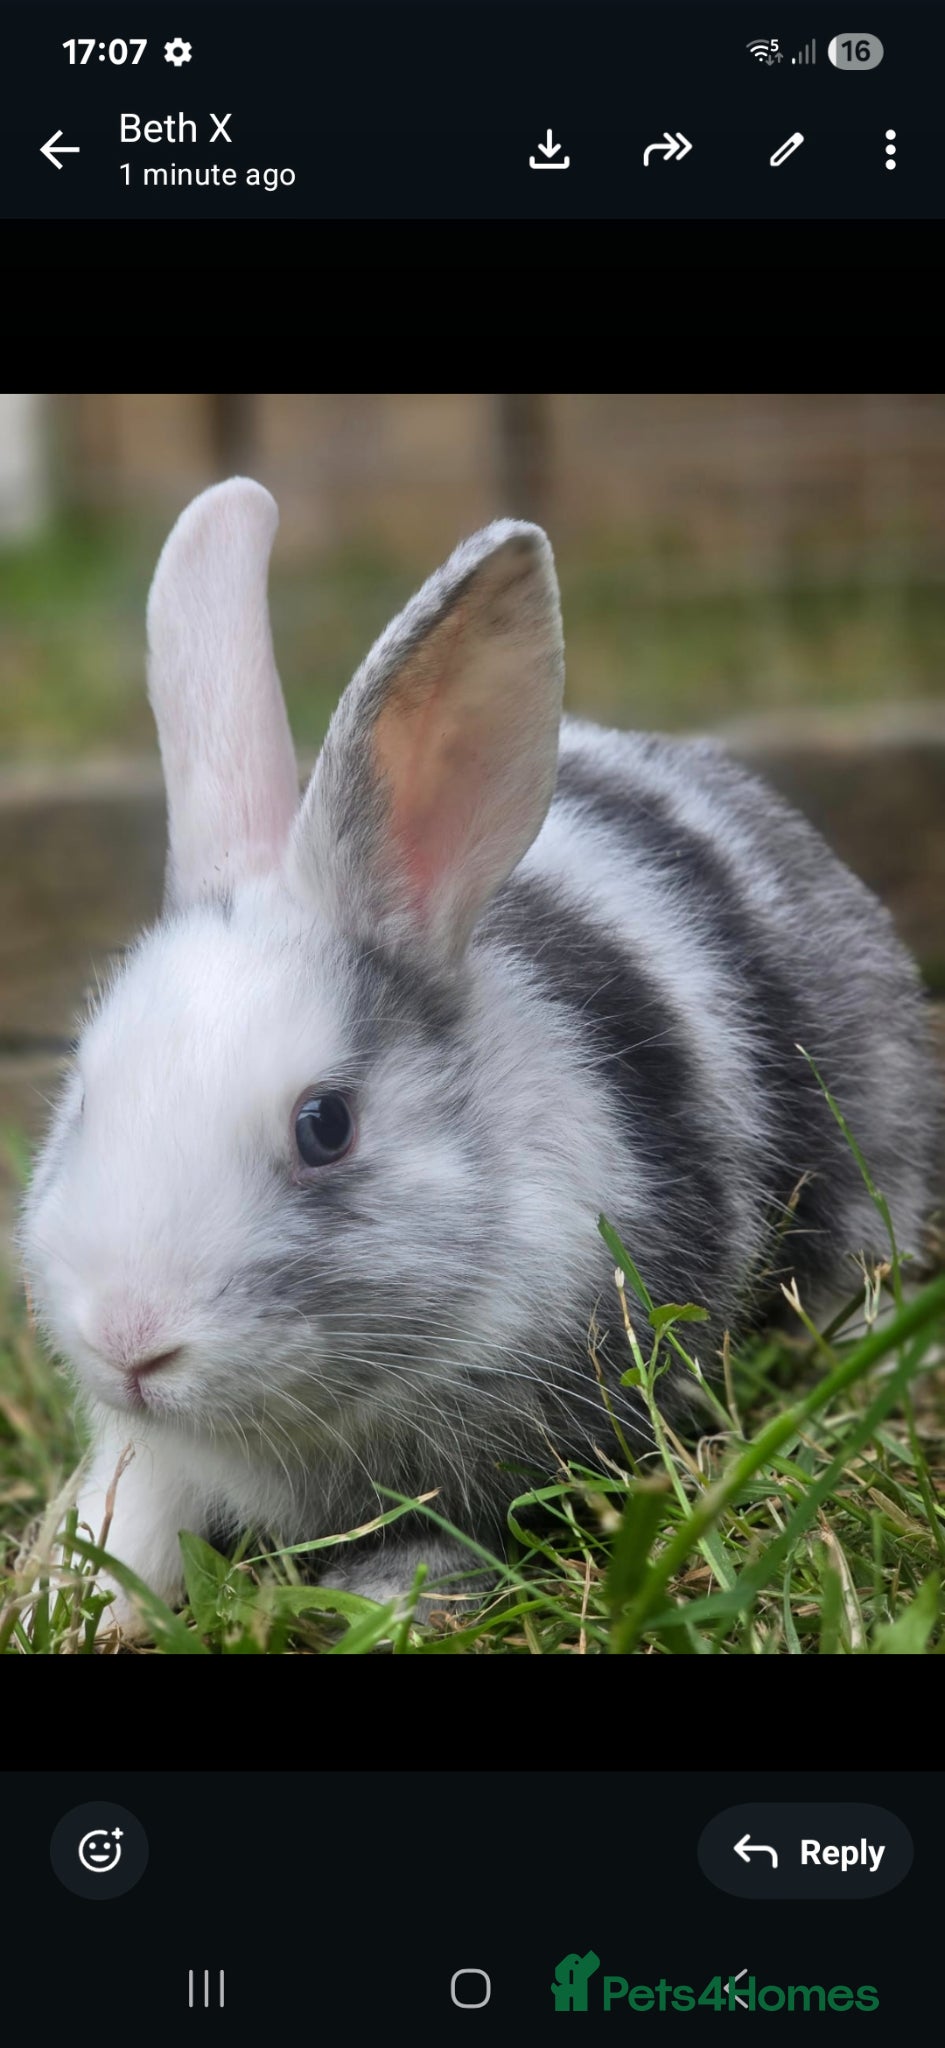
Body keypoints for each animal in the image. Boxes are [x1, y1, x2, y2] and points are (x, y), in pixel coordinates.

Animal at [19, 478, 940, 1630]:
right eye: (84, 1100)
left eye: (326, 1125)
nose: (129, 1342)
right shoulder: (156, 1453)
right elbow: (131, 1510)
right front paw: (73, 1602)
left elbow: (465, 1528)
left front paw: (384, 1601)